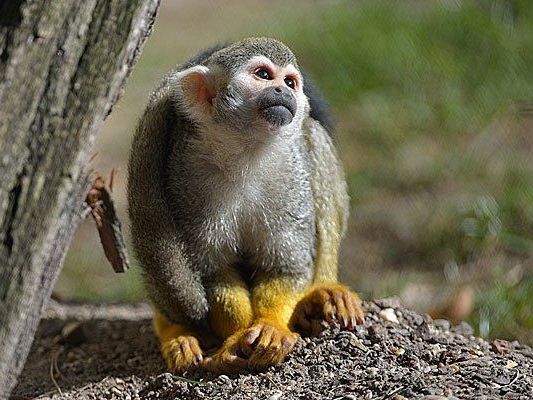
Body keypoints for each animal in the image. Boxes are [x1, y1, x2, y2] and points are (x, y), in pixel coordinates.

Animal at [127, 37, 364, 376]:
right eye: (264, 75)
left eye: (290, 82)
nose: (283, 91)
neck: (245, 152)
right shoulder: (187, 175)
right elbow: (214, 271)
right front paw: (234, 339)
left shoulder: (290, 172)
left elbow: (286, 264)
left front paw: (271, 327)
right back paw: (176, 334)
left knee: (313, 136)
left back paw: (323, 292)